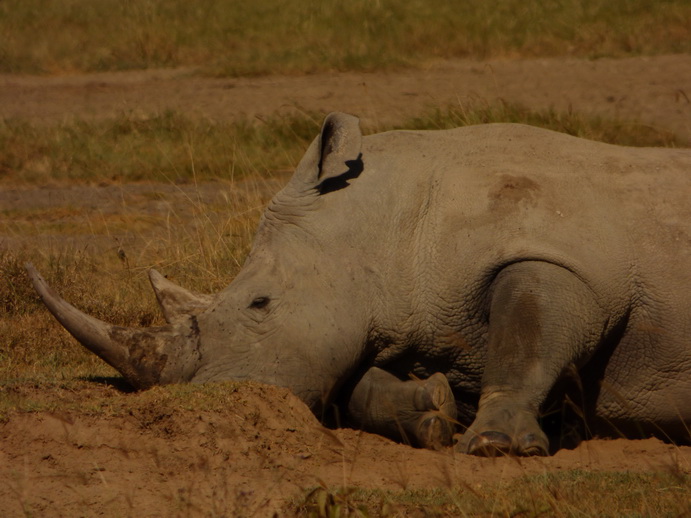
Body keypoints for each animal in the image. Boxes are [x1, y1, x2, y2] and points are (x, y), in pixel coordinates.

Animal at [24, 112, 688, 456]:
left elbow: (529, 338)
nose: (209, 403)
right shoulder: (410, 313)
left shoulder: (567, 257)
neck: (390, 219)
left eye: (260, 303)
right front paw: (432, 413)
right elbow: (356, 386)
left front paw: (494, 445)